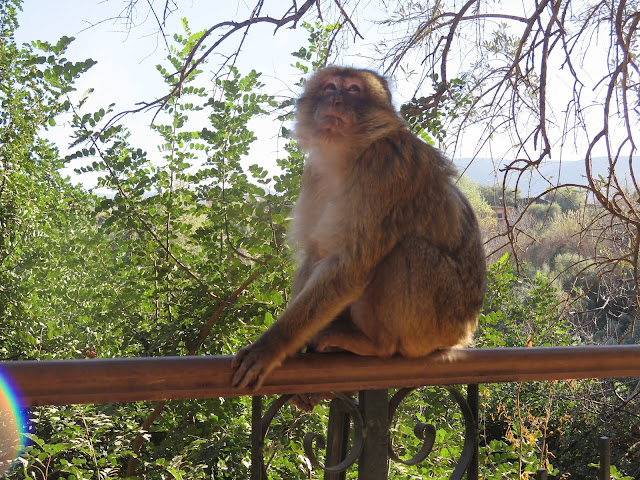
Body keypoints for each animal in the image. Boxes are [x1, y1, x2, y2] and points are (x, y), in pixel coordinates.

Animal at [231, 66, 487, 402]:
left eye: (353, 89)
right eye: (330, 87)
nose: (336, 100)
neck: (348, 156)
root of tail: (466, 332)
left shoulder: (385, 167)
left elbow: (350, 264)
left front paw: (272, 345)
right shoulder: (314, 174)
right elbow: (317, 253)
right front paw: (295, 349)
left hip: (441, 321)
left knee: (406, 250)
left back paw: (377, 344)